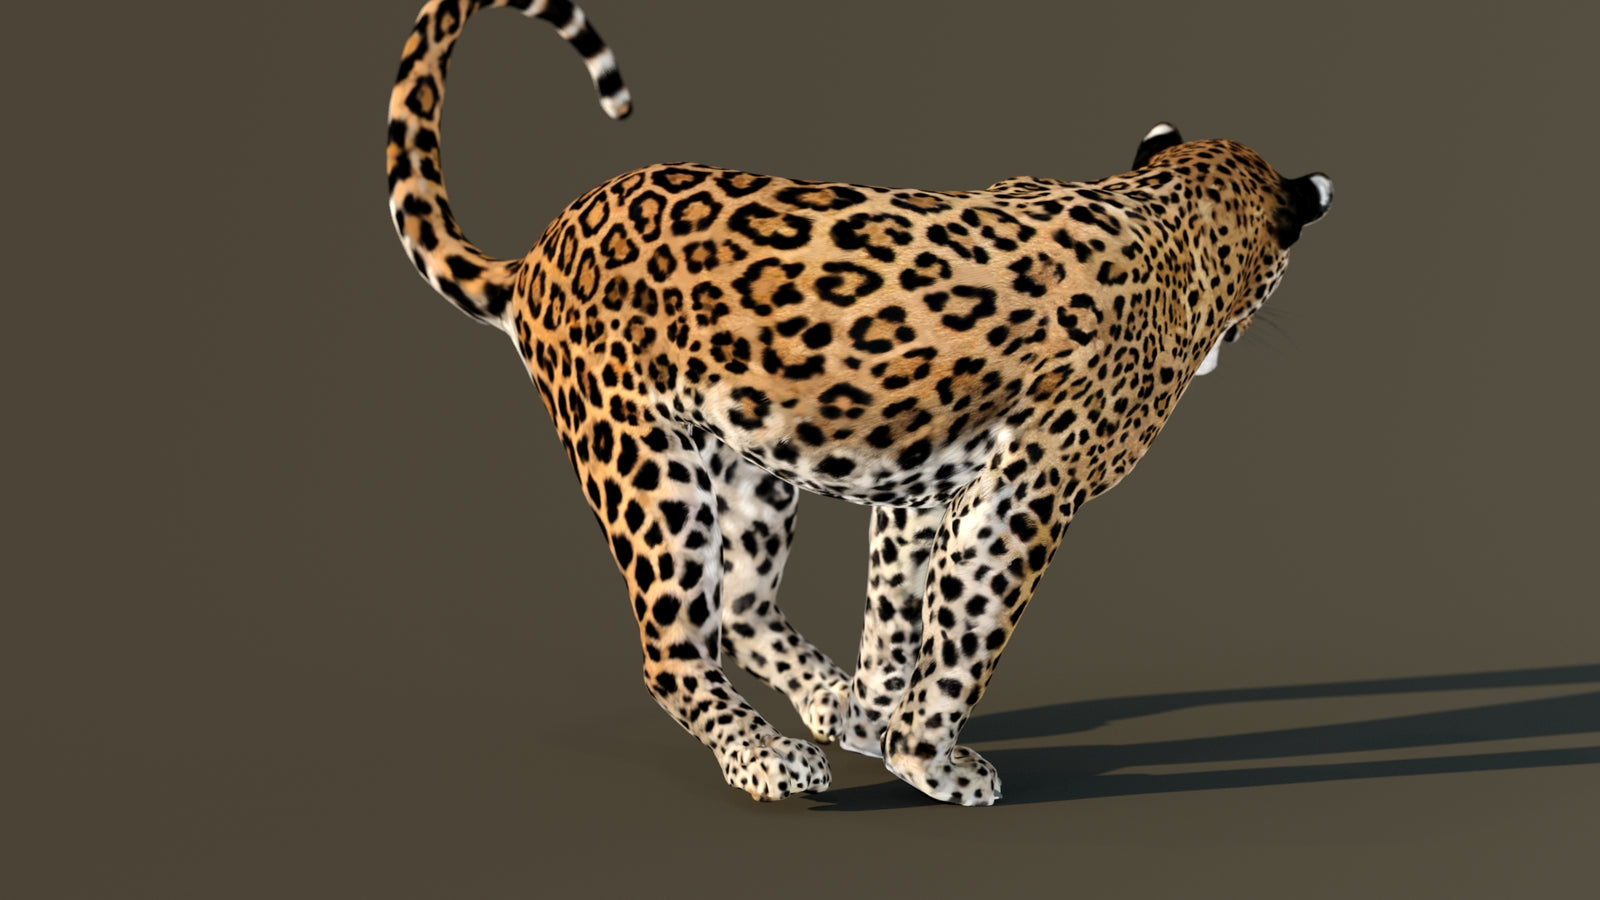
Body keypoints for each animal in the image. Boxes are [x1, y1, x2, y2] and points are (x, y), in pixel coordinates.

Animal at [386, 0, 1332, 806]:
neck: (1174, 217)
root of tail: (540, 252)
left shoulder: (927, 491)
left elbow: (900, 613)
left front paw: (874, 720)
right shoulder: (1024, 495)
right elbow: (968, 637)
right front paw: (930, 762)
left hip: (752, 461)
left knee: (742, 606)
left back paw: (824, 700)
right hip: (647, 468)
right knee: (675, 649)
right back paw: (769, 760)